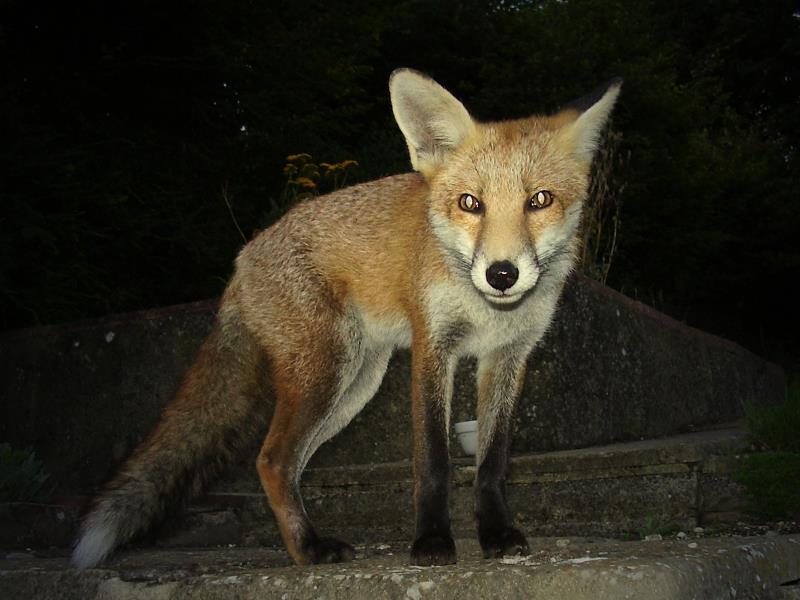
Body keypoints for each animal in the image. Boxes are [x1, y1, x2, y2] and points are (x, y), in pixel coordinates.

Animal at [72, 69, 620, 568]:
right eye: (471, 203)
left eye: (539, 200)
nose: (501, 274)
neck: (486, 313)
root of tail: (243, 258)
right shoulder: (433, 346)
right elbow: (433, 460)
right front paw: (431, 542)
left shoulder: (509, 356)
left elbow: (492, 462)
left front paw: (497, 535)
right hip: (327, 371)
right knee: (271, 460)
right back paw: (309, 550)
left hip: (356, 383)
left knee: (286, 465)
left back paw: (304, 545)